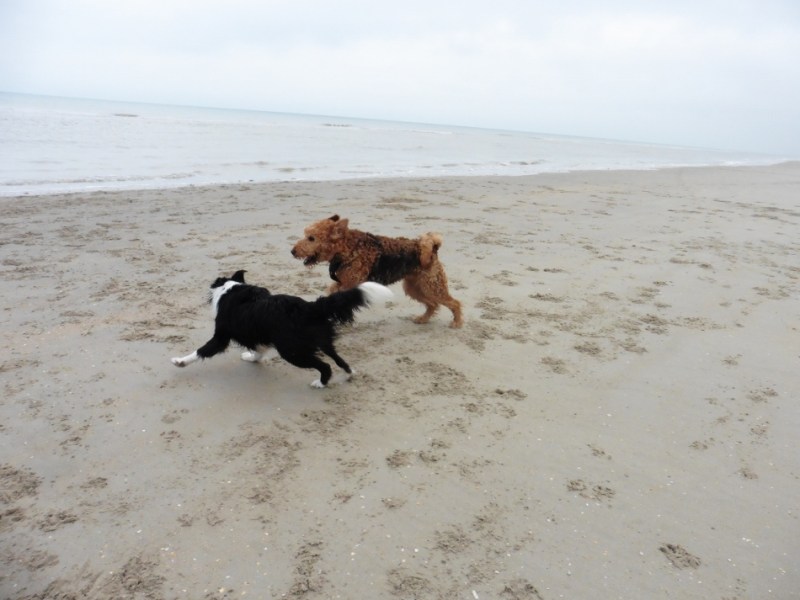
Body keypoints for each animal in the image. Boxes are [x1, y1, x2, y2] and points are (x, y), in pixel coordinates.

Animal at [171, 270, 392, 388]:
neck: (230, 289)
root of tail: (309, 307)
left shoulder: (221, 336)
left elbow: (201, 351)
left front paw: (180, 361)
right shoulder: (258, 335)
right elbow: (258, 350)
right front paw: (251, 357)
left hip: (292, 351)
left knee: (325, 366)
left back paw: (321, 383)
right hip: (322, 341)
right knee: (338, 360)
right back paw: (349, 373)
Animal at [291, 215, 463, 328]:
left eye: (311, 238)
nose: (292, 251)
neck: (347, 248)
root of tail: (433, 249)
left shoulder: (349, 284)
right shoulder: (342, 283)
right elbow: (332, 292)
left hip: (432, 287)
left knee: (454, 303)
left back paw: (456, 323)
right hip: (414, 288)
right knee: (432, 304)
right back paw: (423, 319)